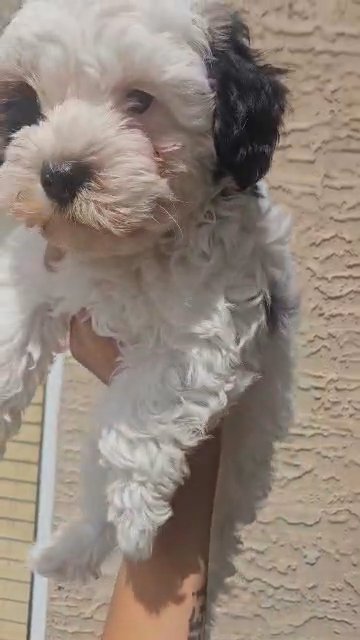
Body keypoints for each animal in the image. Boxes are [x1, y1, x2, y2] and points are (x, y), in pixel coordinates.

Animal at [0, 0, 298, 580]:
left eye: (140, 101)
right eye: (29, 104)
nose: (59, 173)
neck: (129, 249)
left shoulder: (205, 327)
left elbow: (143, 415)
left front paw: (137, 520)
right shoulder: (34, 271)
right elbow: (11, 334)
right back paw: (59, 555)